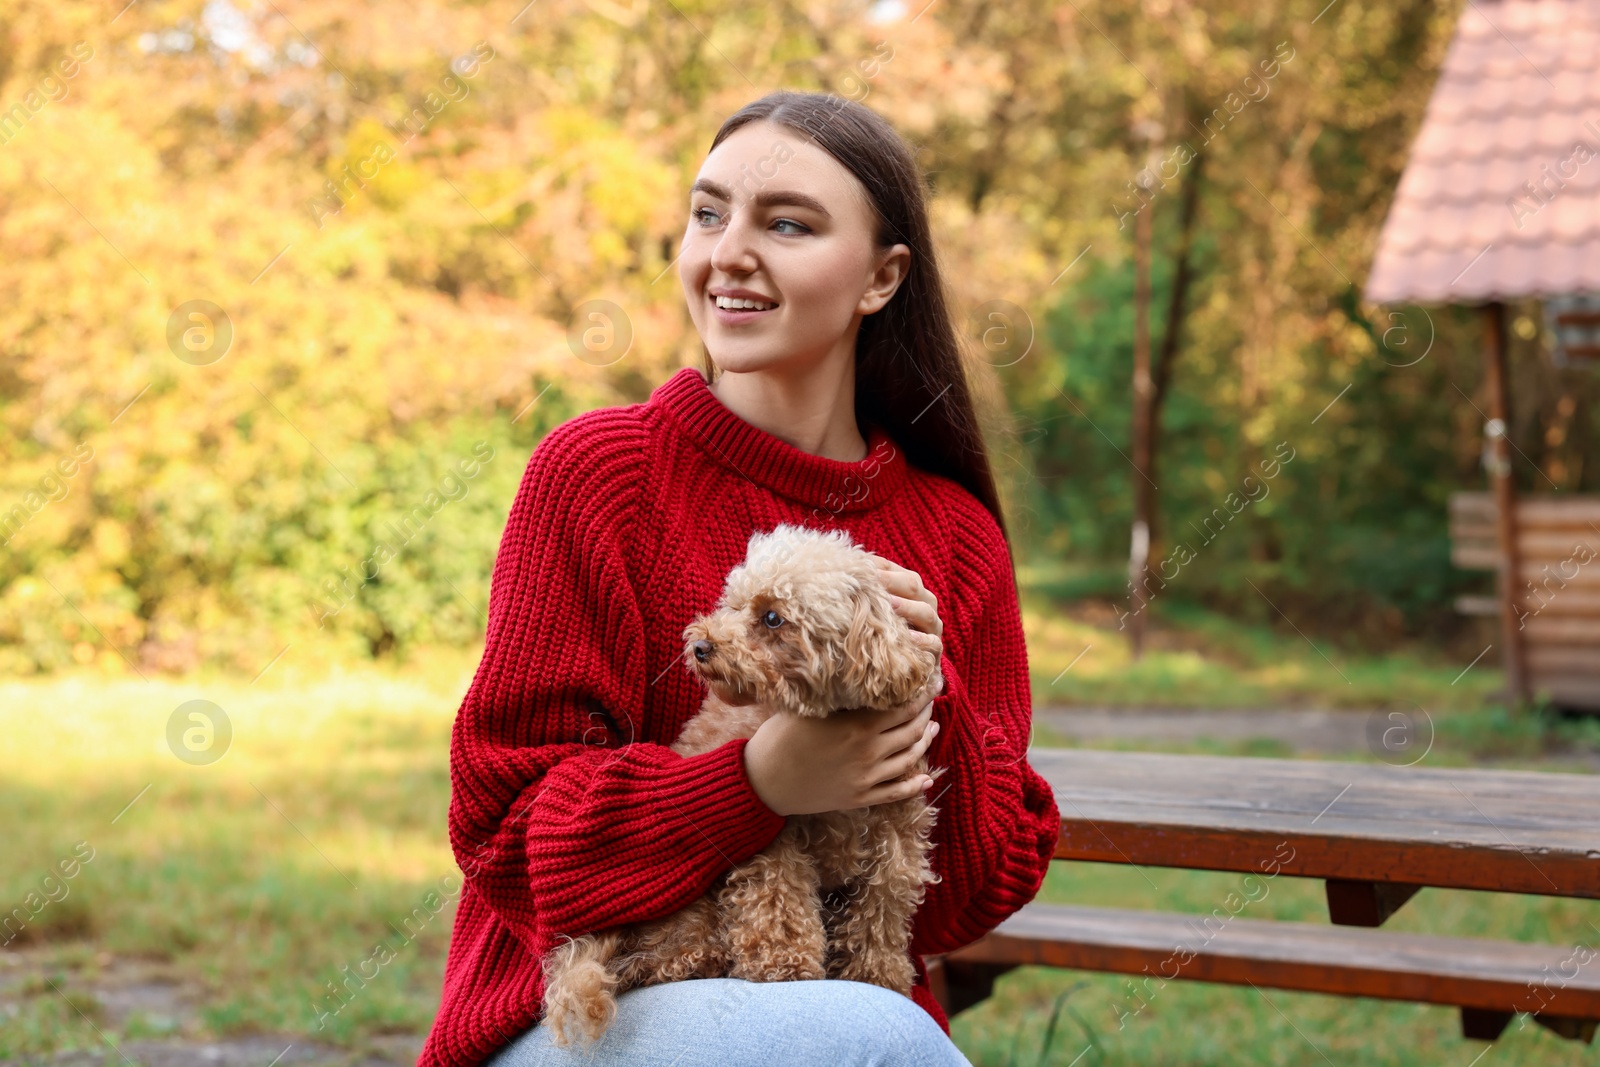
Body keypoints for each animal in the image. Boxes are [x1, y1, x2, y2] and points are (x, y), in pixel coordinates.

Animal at [537, 521, 940, 1049]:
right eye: (733, 603)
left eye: (772, 618)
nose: (701, 646)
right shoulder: (772, 833)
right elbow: (777, 899)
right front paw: (785, 966)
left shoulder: (897, 830)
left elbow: (884, 908)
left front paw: (880, 975)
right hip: (684, 905)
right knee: (666, 957)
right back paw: (693, 959)